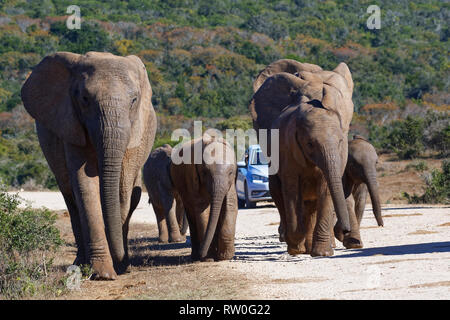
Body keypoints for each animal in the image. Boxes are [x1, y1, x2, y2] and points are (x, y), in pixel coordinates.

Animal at [21, 51, 158, 278]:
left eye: (134, 100)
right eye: (85, 99)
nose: (119, 260)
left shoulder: (135, 133)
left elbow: (122, 188)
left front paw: (118, 267)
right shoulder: (71, 125)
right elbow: (85, 185)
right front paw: (103, 273)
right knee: (70, 196)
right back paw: (81, 263)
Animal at [170, 134, 239, 262]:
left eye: (231, 172)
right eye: (204, 172)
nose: (202, 253)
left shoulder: (231, 183)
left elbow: (230, 205)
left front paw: (225, 257)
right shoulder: (193, 178)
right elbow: (202, 210)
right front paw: (208, 258)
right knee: (191, 214)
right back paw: (196, 256)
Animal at [250, 58, 356, 256]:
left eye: (340, 141)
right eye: (309, 144)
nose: (344, 231)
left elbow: (326, 187)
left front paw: (322, 253)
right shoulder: (286, 147)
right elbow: (291, 189)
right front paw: (295, 243)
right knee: (280, 193)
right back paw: (297, 245)